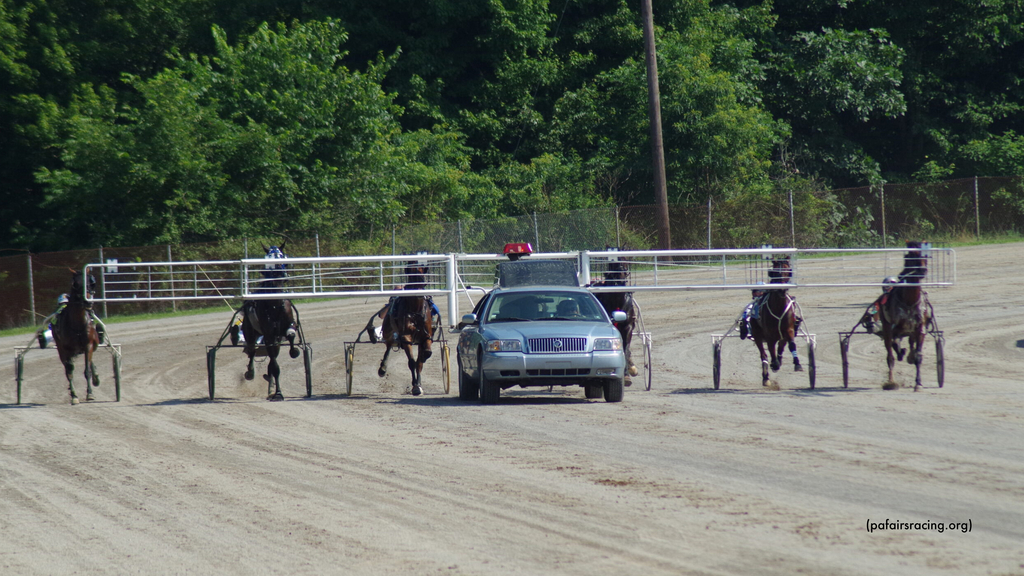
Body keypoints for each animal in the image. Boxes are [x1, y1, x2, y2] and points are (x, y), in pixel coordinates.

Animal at [51, 268, 101, 403]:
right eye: (76, 284)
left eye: (90, 282)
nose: (87, 302)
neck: (78, 323)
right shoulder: (66, 349)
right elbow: (69, 371)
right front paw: (74, 396)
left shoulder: (88, 345)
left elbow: (87, 370)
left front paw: (90, 394)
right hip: (61, 349)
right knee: (67, 367)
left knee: (90, 361)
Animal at [372, 262, 436, 397]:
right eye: (411, 276)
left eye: (422, 275)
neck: (415, 312)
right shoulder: (406, 337)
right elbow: (412, 362)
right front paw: (415, 385)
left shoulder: (426, 336)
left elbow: (423, 358)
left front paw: (419, 384)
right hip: (388, 331)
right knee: (389, 345)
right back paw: (383, 368)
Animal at [876, 237, 933, 389]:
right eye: (911, 255)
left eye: (925, 255)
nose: (922, 270)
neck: (909, 300)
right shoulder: (894, 328)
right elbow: (893, 347)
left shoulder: (919, 329)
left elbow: (918, 355)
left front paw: (918, 383)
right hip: (886, 327)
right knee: (890, 351)